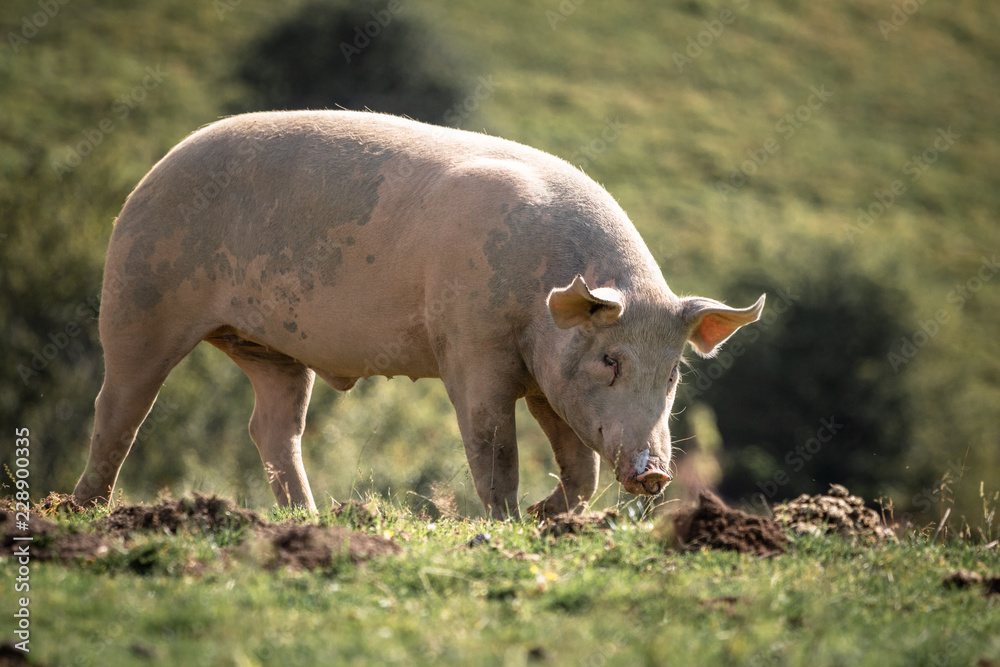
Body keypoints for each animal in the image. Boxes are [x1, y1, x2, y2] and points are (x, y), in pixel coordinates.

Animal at [74, 109, 760, 520]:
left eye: (672, 374)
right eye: (611, 360)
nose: (654, 472)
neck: (540, 298)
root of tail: (152, 172)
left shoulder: (549, 380)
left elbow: (581, 465)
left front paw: (548, 517)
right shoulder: (471, 350)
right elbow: (493, 448)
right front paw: (508, 522)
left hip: (272, 349)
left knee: (272, 428)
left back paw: (308, 518)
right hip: (140, 296)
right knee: (120, 408)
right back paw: (84, 512)